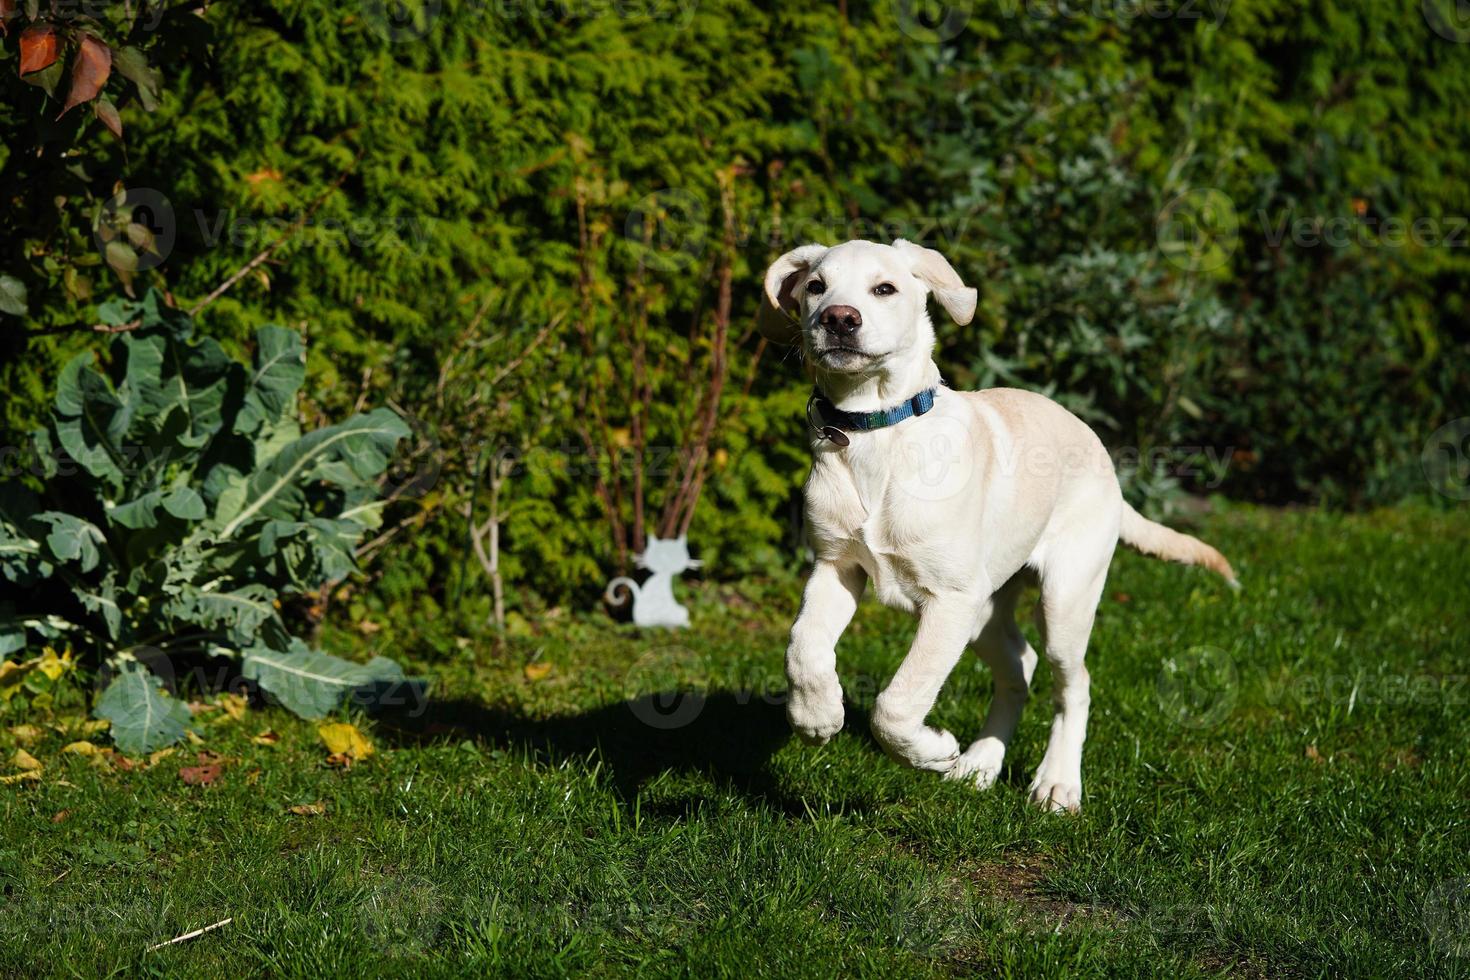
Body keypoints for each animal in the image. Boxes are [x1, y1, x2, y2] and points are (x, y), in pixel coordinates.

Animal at [764, 238, 1234, 811]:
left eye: (885, 289)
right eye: (816, 287)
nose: (838, 319)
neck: (877, 431)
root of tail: (1106, 461)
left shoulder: (950, 600)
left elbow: (898, 703)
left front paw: (931, 750)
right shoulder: (837, 567)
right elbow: (802, 645)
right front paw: (816, 716)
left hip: (1062, 601)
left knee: (1074, 683)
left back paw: (1057, 782)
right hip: (986, 611)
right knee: (1020, 668)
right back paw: (981, 762)